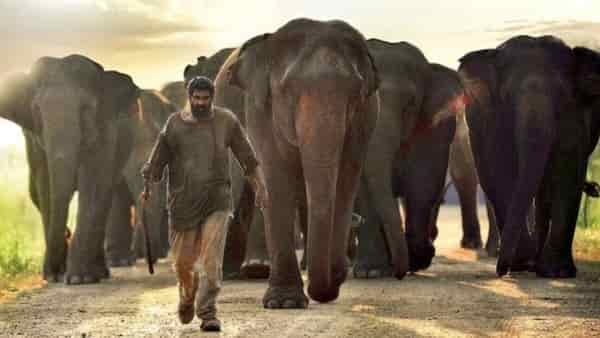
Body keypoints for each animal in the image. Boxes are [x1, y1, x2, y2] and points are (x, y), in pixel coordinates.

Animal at [0, 54, 140, 282]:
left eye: (86, 109)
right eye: (37, 110)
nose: (56, 273)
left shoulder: (104, 128)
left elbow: (92, 183)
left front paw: (78, 279)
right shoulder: (33, 138)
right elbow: (45, 186)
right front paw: (55, 276)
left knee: (105, 194)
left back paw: (98, 273)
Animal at [216, 18, 380, 308]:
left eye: (355, 93)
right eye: (287, 91)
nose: (334, 283)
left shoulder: (364, 118)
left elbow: (346, 178)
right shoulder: (260, 108)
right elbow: (275, 176)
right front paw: (284, 303)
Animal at [354, 40, 466, 278]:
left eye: (410, 104)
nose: (399, 273)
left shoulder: (435, 125)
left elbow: (422, 183)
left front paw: (417, 259)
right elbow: (362, 190)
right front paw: (371, 272)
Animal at [458, 35, 600, 278]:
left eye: (562, 94)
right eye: (507, 95)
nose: (500, 271)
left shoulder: (575, 114)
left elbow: (569, 168)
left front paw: (556, 273)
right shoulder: (489, 116)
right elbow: (498, 168)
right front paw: (521, 262)